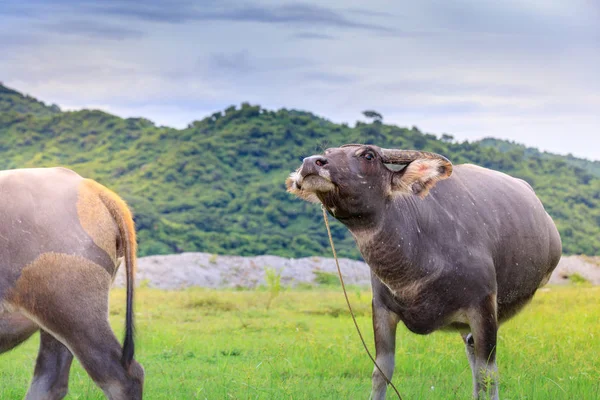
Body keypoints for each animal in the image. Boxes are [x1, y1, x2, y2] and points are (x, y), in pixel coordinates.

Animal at [286, 145, 564, 398]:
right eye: (327, 151)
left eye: (368, 155)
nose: (311, 162)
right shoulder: (381, 309)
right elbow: (381, 371)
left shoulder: (483, 306)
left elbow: (489, 374)